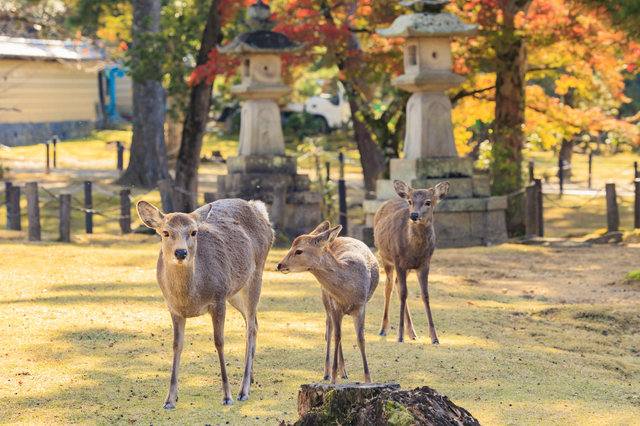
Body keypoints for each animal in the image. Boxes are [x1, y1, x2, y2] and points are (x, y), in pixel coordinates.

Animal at [136, 198, 274, 408]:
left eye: (194, 232)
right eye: (165, 232)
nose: (181, 252)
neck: (189, 299)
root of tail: (259, 210)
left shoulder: (218, 298)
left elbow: (219, 342)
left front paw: (227, 396)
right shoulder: (173, 308)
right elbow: (177, 344)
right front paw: (170, 399)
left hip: (256, 272)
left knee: (250, 327)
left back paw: (243, 390)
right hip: (235, 290)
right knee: (255, 323)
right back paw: (250, 378)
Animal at [276, 221, 380, 384]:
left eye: (298, 251)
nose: (280, 265)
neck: (348, 294)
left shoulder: (361, 305)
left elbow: (361, 339)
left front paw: (368, 380)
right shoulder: (335, 305)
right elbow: (336, 336)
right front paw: (333, 379)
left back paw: (344, 372)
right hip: (325, 298)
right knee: (329, 331)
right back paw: (328, 373)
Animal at [374, 179, 450, 344]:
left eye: (428, 202)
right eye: (410, 201)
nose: (414, 215)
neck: (414, 251)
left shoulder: (425, 263)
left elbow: (425, 295)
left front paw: (435, 338)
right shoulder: (399, 261)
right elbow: (403, 293)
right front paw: (399, 336)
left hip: (406, 267)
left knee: (396, 284)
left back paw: (412, 333)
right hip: (385, 256)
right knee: (389, 286)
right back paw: (383, 330)